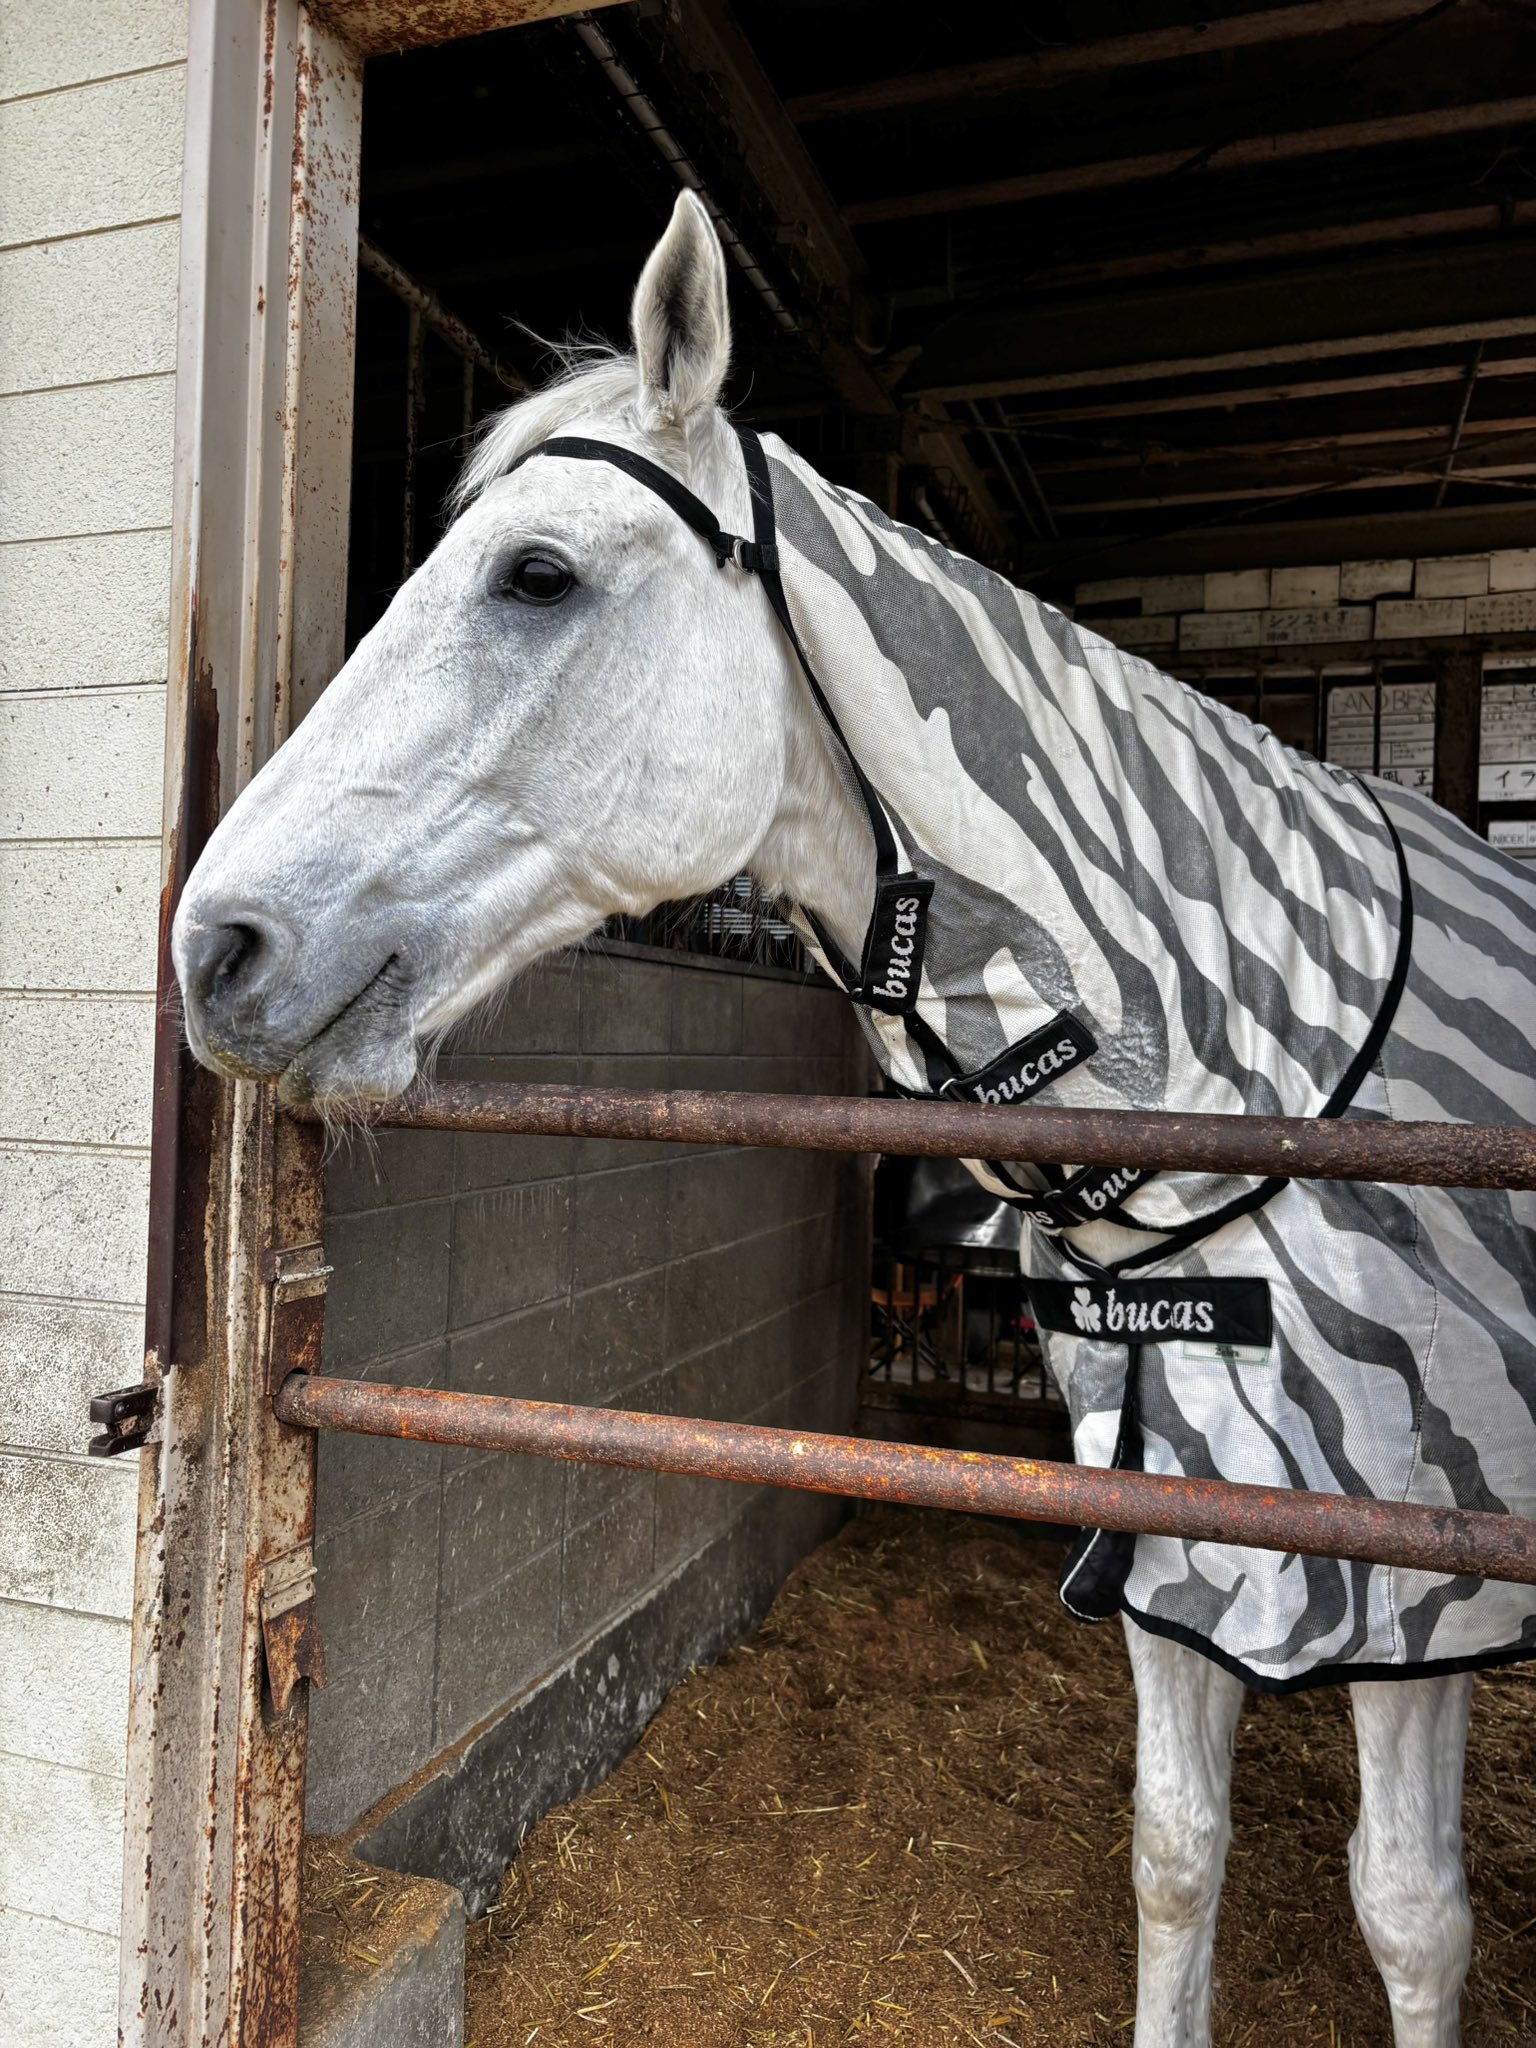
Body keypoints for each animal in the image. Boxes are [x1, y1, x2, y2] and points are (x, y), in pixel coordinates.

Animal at [174, 191, 1536, 2047]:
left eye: (538, 576)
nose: (214, 948)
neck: (1256, 1062)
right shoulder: (1183, 1536)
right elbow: (1175, 1853)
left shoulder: (1411, 1580)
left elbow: (1410, 1914)